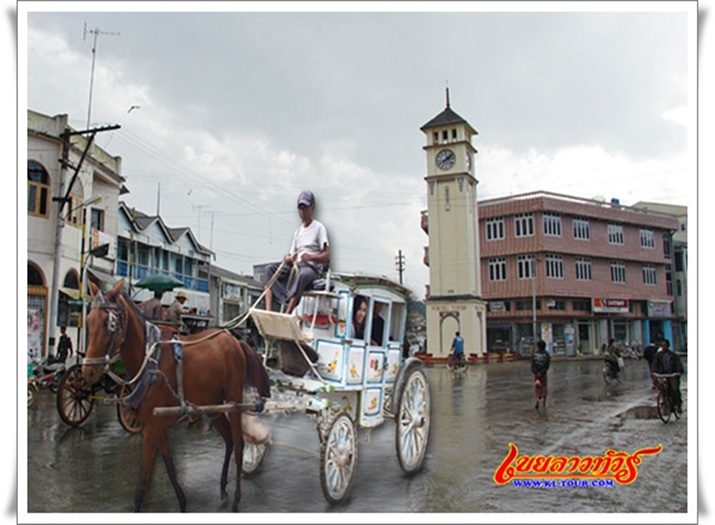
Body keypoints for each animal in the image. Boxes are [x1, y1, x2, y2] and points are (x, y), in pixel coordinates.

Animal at [82, 278, 272, 512]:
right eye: (88, 321)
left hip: (234, 403)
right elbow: (169, 465)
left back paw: (236, 498)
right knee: (228, 441)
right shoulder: (155, 426)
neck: (150, 361)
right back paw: (222, 488)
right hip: (214, 408)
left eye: (109, 324)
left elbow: (143, 479)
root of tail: (236, 341)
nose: (88, 372)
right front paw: (182, 502)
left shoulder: (151, 429)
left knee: (238, 444)